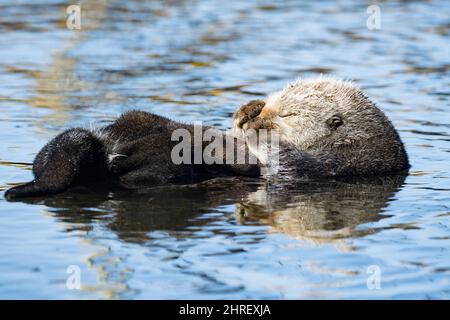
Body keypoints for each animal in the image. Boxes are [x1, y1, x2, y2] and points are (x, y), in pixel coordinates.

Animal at [4, 77, 412, 200]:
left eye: (287, 115)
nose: (257, 114)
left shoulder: (324, 167)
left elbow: (276, 161)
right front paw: (247, 110)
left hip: (147, 172)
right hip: (103, 134)